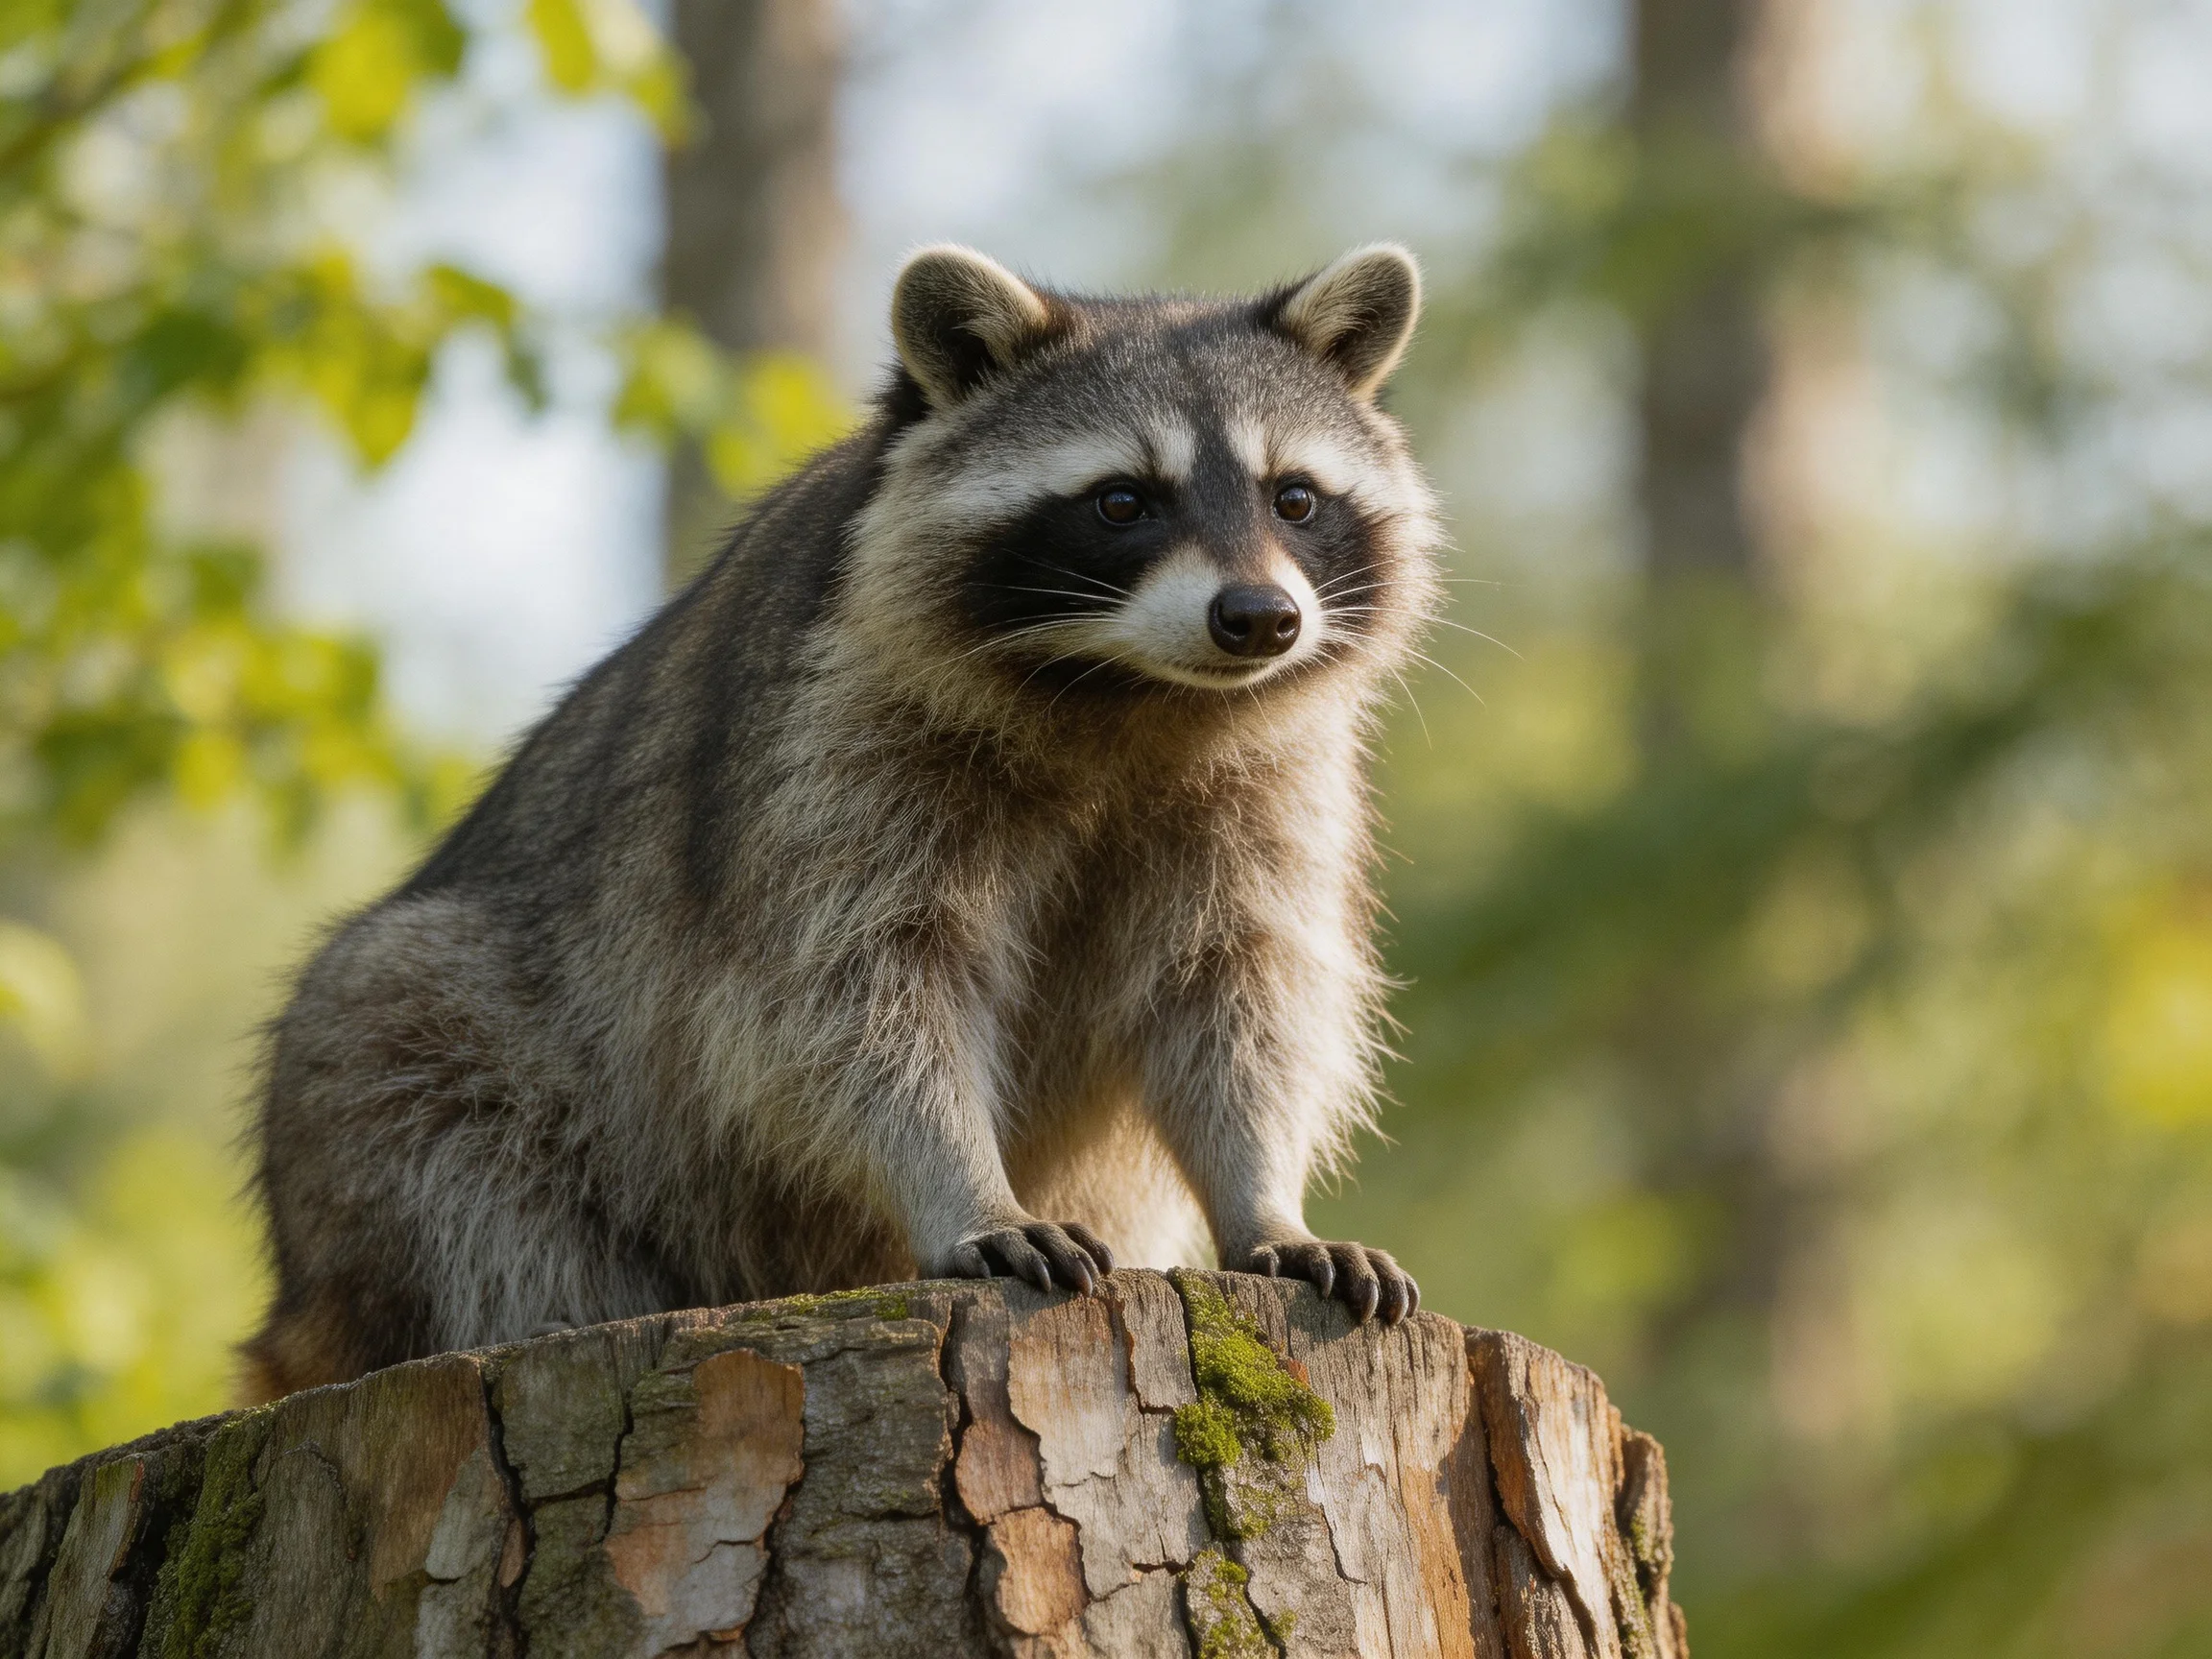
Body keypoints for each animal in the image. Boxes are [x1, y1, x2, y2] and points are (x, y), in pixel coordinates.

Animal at [242, 243, 1443, 1399]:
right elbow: (856, 1000)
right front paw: (965, 1189)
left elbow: (1237, 991)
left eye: (1294, 499)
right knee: (427, 1104)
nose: (1261, 619)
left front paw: (1263, 1200)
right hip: (420, 1099)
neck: (1133, 695)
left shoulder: (1268, 788)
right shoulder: (830, 753)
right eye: (1122, 502)